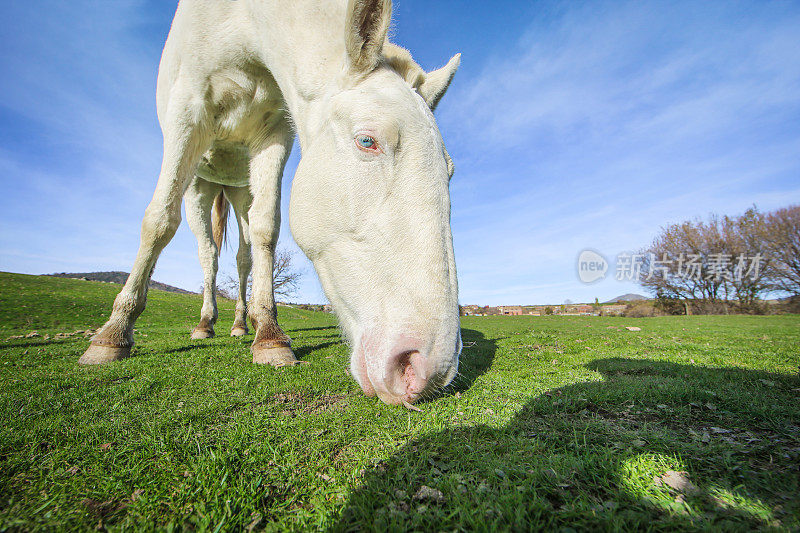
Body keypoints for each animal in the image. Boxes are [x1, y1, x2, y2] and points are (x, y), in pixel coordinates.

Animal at [81, 0, 462, 406]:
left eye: (449, 170)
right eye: (367, 141)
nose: (428, 369)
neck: (245, 24)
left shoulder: (275, 132)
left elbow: (266, 228)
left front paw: (269, 336)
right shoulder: (186, 113)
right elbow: (158, 221)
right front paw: (112, 335)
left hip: (240, 190)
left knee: (243, 255)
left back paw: (239, 324)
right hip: (199, 183)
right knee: (207, 253)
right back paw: (204, 324)